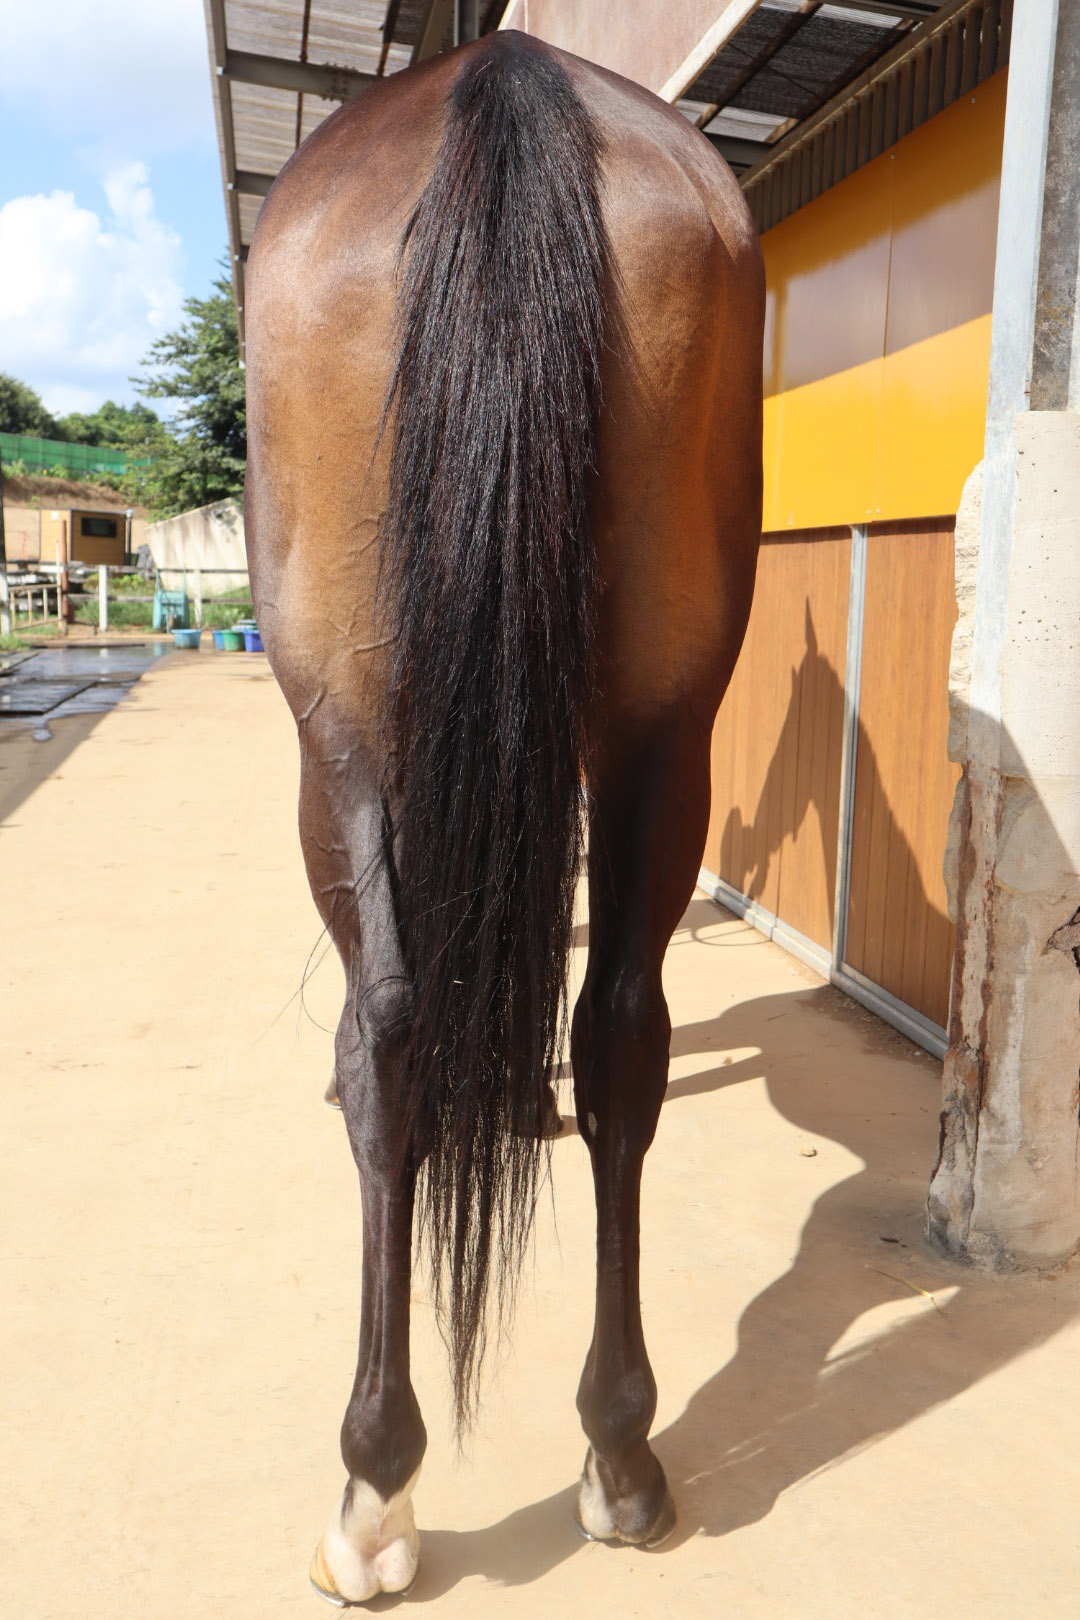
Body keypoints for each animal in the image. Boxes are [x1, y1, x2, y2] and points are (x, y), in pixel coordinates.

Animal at [244, 28, 763, 1604]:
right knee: (621, 1034)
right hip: (665, 727)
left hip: (341, 726)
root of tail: (514, 77)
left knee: (389, 1032)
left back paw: (374, 1492)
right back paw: (622, 1452)